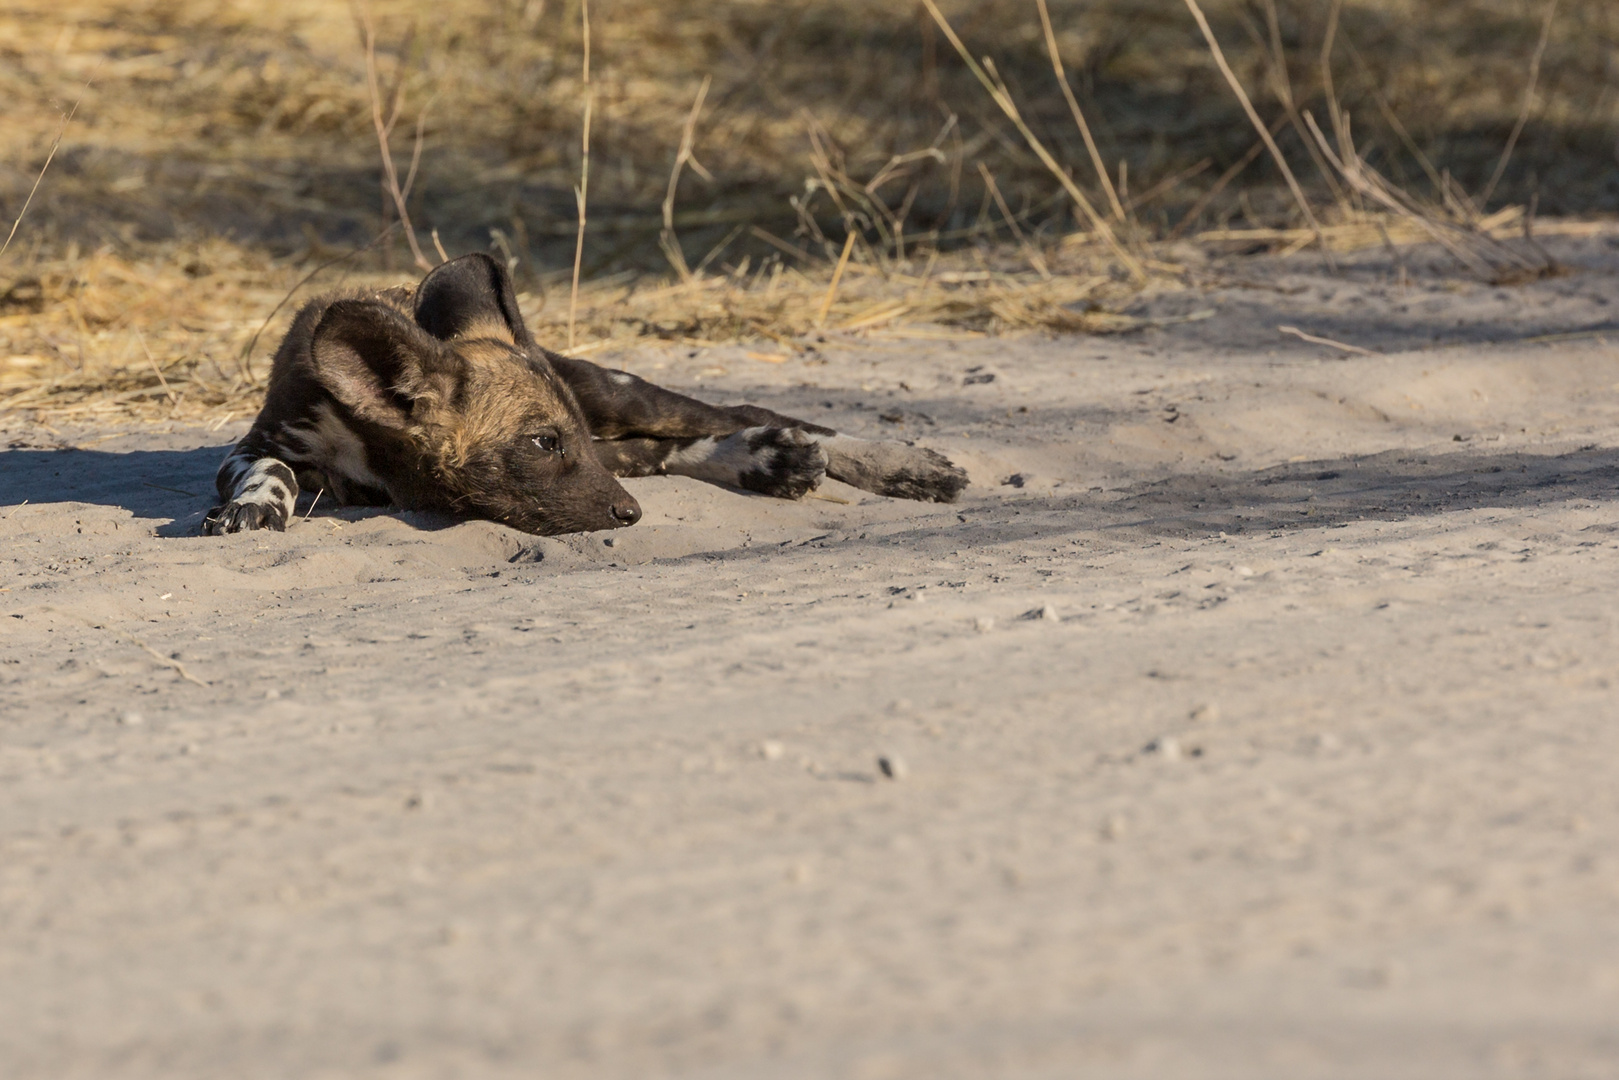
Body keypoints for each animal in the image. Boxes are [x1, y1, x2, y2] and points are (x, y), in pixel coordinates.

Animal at [199, 254, 958, 540]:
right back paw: (769, 463)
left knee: (745, 414)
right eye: (544, 443)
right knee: (673, 449)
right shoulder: (263, 443)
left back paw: (899, 464)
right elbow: (271, 468)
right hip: (624, 438)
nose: (630, 516)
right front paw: (256, 506)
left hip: (617, 397)